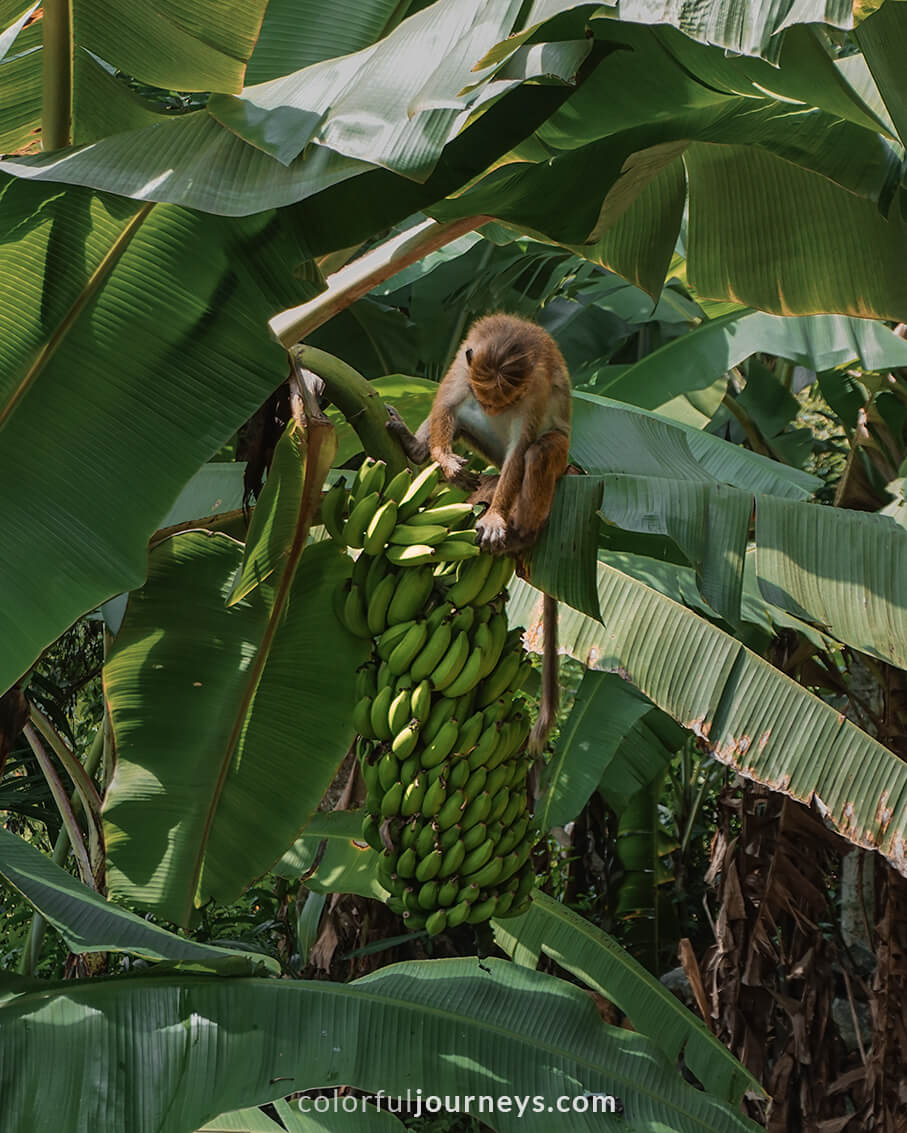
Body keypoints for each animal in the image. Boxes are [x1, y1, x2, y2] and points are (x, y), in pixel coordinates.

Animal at [386, 312, 571, 763]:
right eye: (489, 394)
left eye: (508, 397)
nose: (491, 407)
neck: (509, 340)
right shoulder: (464, 364)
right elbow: (447, 404)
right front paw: (444, 462)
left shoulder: (535, 390)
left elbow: (522, 447)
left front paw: (496, 520)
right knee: (463, 419)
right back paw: (418, 451)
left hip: (552, 461)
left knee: (536, 452)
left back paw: (520, 533)